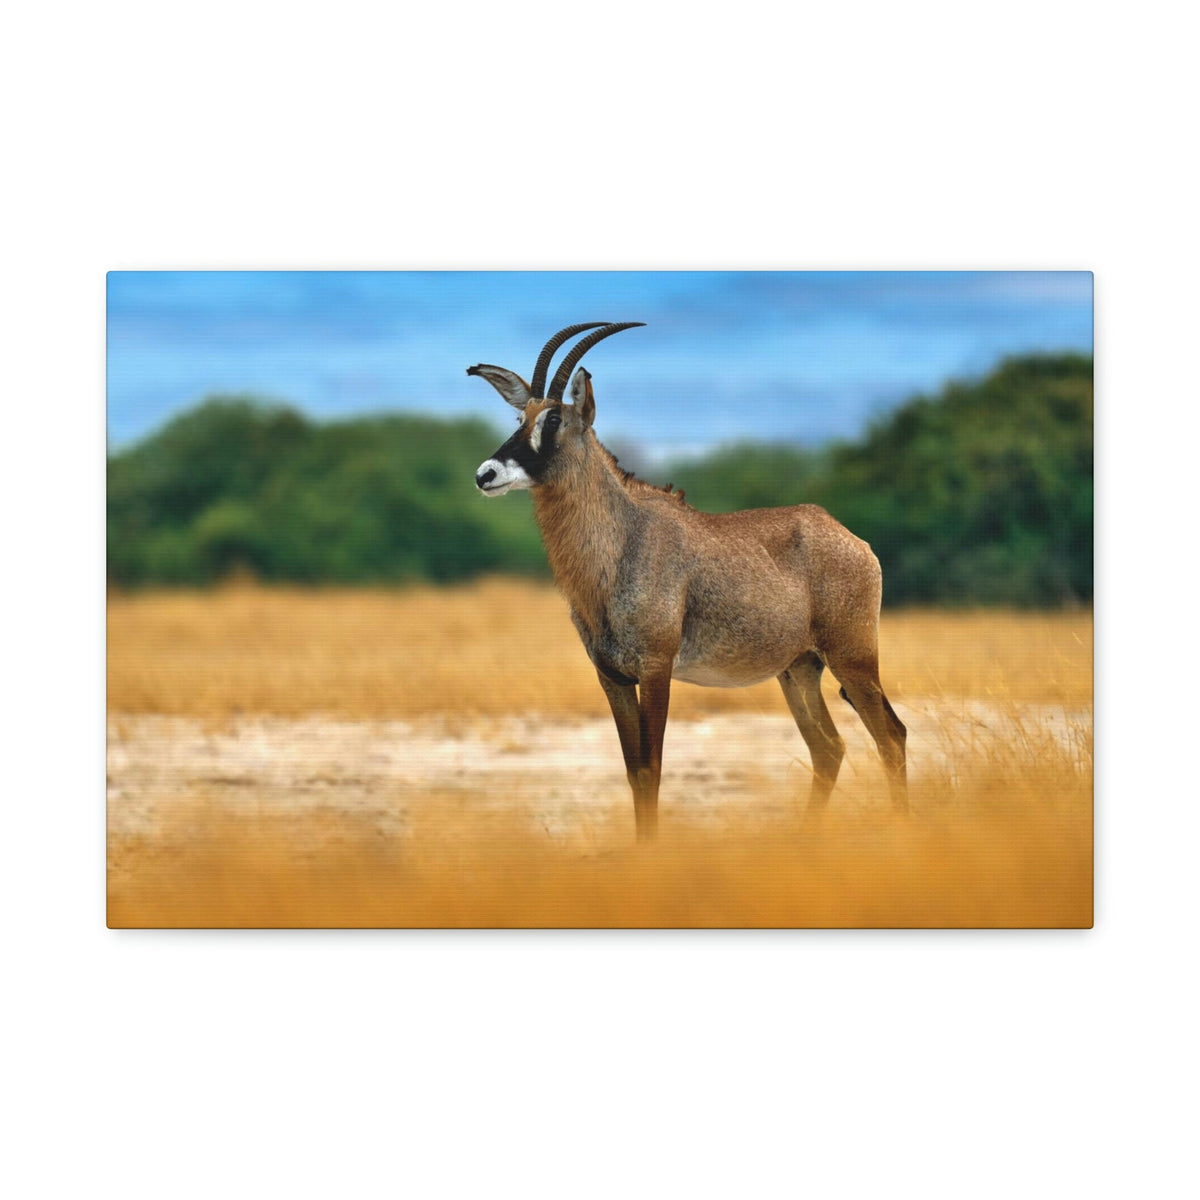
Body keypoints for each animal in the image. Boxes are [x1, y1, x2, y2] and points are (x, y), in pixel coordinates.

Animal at [469, 322, 907, 839]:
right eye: (521, 416)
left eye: (554, 419)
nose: (486, 474)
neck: (623, 540)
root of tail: (853, 541)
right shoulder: (612, 678)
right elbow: (633, 773)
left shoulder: (657, 670)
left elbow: (651, 769)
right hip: (799, 669)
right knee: (829, 747)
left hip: (852, 657)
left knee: (891, 736)